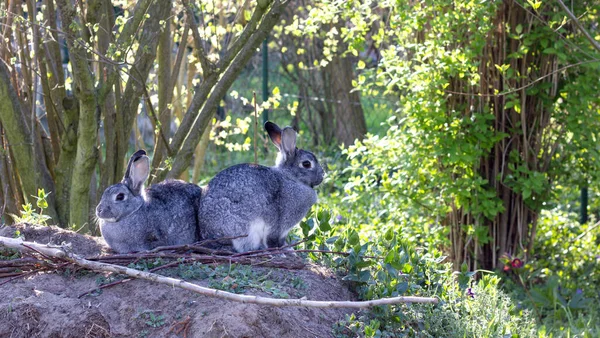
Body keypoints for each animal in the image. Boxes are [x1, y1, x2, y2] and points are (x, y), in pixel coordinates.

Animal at [199, 121, 324, 251]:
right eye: (306, 164)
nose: (322, 175)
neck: (290, 177)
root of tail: (210, 237)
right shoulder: (277, 226)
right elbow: (273, 240)